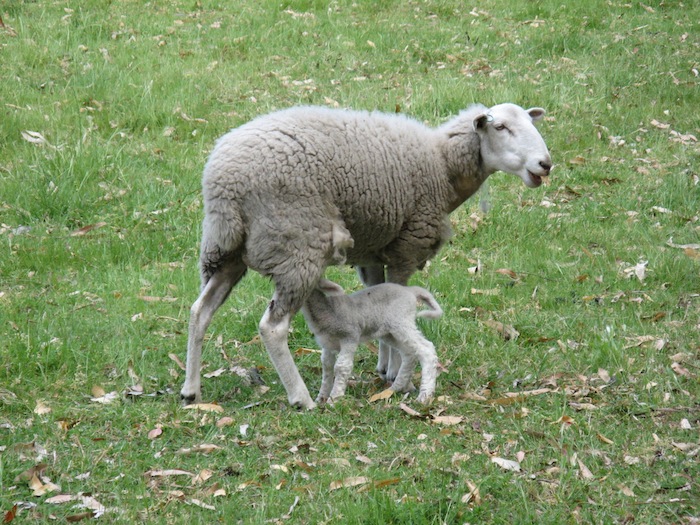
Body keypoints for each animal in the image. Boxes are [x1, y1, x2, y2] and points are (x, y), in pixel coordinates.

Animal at [301, 278, 443, 404]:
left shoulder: (350, 337)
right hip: (389, 333)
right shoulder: (327, 344)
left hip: (401, 322)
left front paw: (334, 399)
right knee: (409, 353)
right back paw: (395, 388)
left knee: (426, 349)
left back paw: (424, 395)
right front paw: (321, 398)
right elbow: (326, 366)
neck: (329, 311)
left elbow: (342, 367)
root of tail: (410, 290)